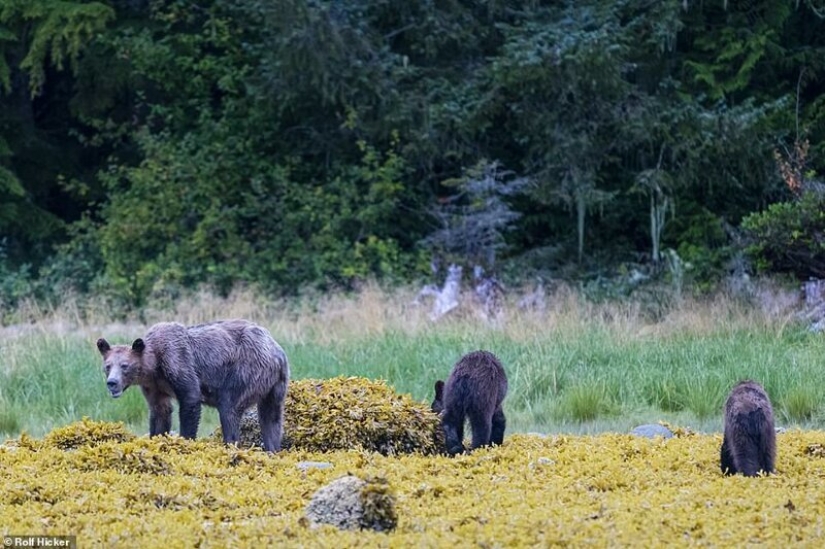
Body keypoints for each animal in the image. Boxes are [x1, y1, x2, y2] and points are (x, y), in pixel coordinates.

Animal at [96, 318, 288, 452]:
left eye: (124, 365)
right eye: (108, 366)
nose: (112, 383)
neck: (154, 366)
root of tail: (276, 352)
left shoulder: (177, 361)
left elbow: (190, 399)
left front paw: (185, 440)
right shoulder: (154, 386)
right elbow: (160, 411)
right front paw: (156, 438)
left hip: (244, 371)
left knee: (229, 409)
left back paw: (230, 445)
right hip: (275, 386)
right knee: (271, 418)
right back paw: (272, 448)